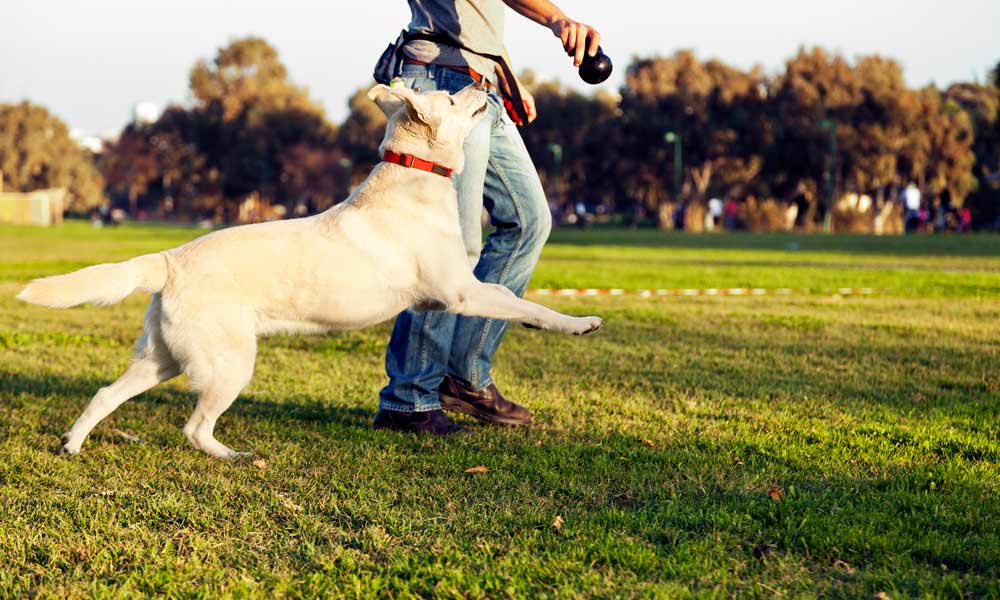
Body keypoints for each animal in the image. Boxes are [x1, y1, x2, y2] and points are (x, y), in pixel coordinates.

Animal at [17, 83, 600, 460]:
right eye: (453, 98)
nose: (485, 83)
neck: (414, 176)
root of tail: (169, 259)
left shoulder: (451, 296)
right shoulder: (461, 292)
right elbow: (521, 300)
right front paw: (578, 323)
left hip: (161, 359)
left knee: (104, 394)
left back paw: (72, 444)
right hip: (229, 364)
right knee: (194, 427)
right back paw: (232, 456)